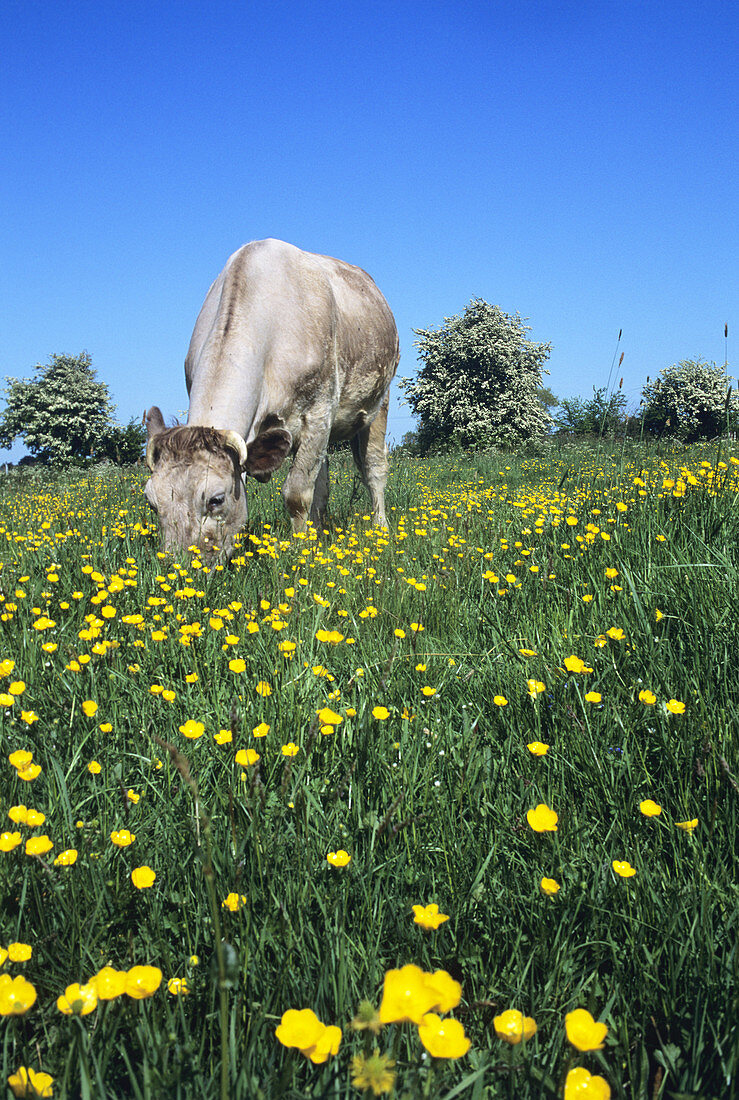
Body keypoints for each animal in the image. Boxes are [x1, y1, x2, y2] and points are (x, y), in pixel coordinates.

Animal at [144, 237, 398, 558]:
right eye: (152, 502)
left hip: (379, 401)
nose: (177, 567)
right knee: (322, 481)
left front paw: (300, 549)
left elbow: (297, 492)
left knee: (373, 468)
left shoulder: (319, 411)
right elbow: (313, 485)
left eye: (216, 499)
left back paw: (380, 527)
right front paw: (310, 540)